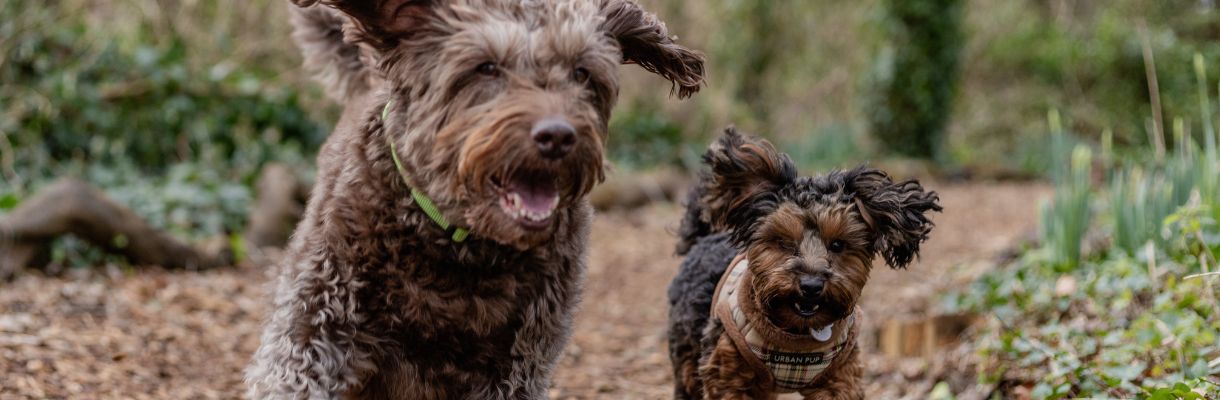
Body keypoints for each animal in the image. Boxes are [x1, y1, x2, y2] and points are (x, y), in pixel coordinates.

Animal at [673, 128, 936, 400]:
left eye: (838, 244)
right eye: (783, 242)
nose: (811, 285)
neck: (797, 335)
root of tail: (706, 238)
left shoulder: (841, 377)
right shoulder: (728, 373)